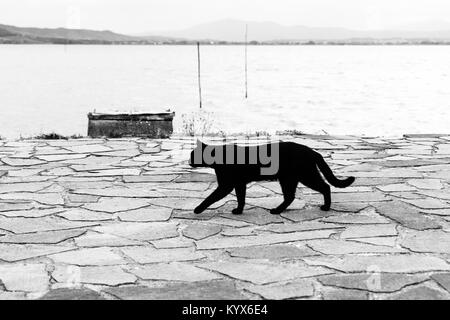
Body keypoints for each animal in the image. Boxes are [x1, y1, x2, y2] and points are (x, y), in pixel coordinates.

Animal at [190, 140, 356, 215]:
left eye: (192, 154)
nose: (189, 161)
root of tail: (312, 150)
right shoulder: (239, 184)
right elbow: (241, 198)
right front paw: (239, 210)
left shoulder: (226, 185)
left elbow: (211, 197)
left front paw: (198, 209)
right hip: (290, 179)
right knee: (290, 196)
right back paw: (277, 210)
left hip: (305, 176)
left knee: (325, 187)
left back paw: (326, 207)